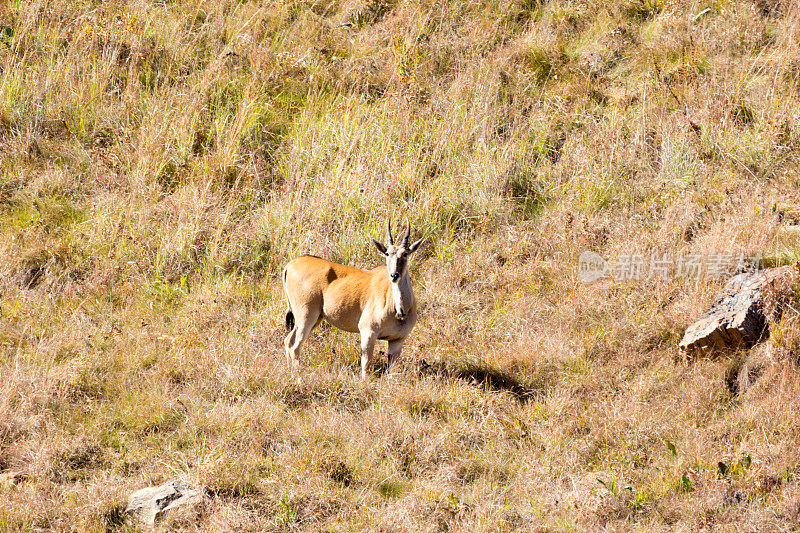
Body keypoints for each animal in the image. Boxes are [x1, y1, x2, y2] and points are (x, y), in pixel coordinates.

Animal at [284, 220, 428, 378]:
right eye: (387, 253)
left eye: (405, 254)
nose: (394, 275)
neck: (399, 309)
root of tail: (292, 263)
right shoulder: (368, 332)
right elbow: (366, 365)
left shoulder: (397, 341)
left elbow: (390, 369)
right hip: (306, 315)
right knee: (295, 346)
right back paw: (298, 375)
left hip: (315, 318)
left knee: (288, 341)